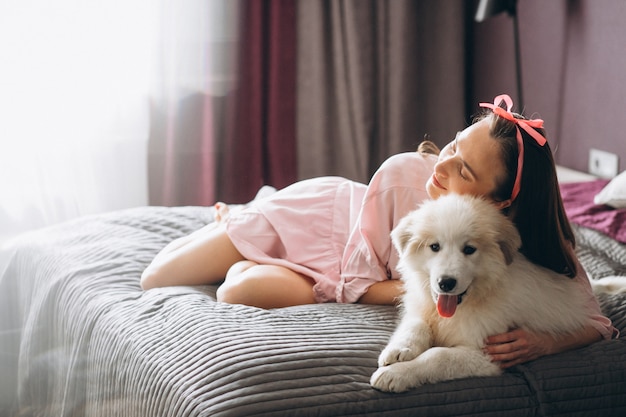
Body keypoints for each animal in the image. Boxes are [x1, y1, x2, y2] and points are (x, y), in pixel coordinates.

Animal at [368, 193, 592, 392]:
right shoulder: (421, 309)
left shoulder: (489, 353)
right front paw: (399, 350)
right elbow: (416, 326)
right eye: (434, 246)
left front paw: (396, 373)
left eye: (469, 249)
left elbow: (438, 355)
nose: (446, 283)